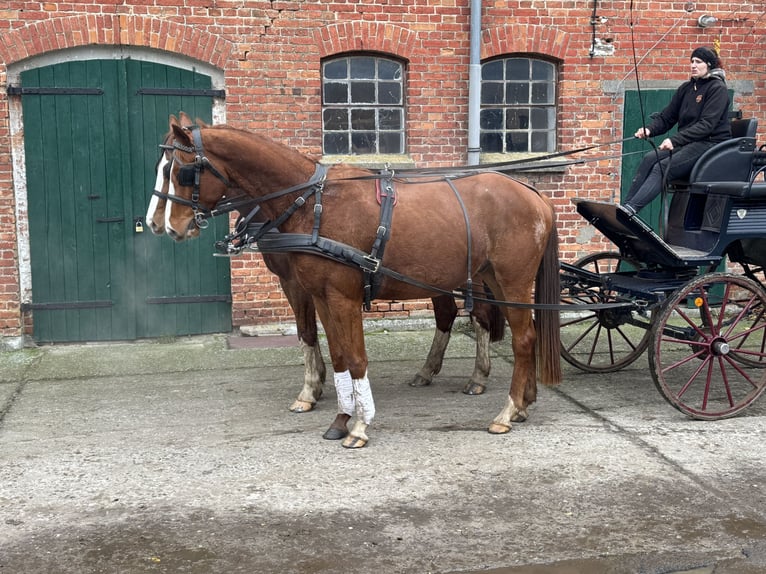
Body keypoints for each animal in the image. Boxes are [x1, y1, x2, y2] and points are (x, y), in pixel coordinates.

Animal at [159, 114, 561, 448]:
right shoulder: (320, 296)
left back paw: (507, 409)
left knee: (521, 338)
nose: (167, 226)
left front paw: (359, 424)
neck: (311, 204)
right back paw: (521, 403)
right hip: (488, 278)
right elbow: (336, 354)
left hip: (510, 280)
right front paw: (339, 416)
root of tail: (534, 194)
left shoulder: (342, 297)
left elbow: (355, 357)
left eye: (182, 172)